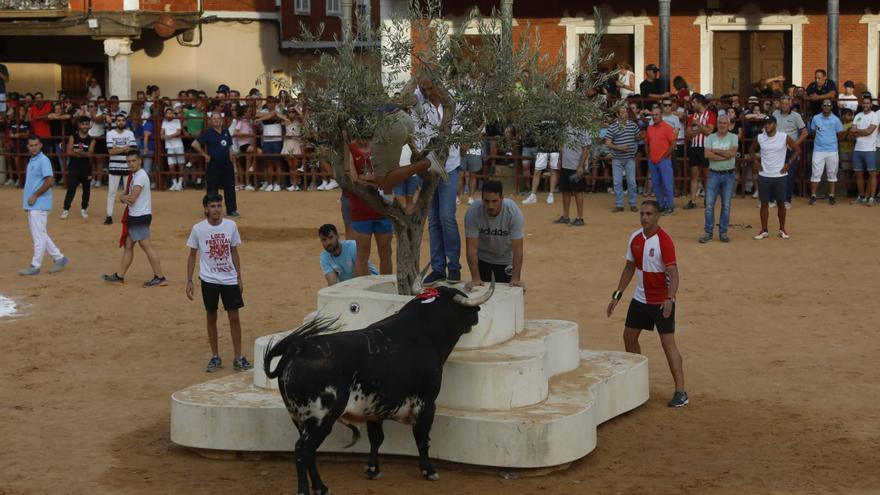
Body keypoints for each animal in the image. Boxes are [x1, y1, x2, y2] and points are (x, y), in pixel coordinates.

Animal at [262, 280, 496, 494]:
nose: (476, 315)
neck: (424, 332)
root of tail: (297, 349)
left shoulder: (374, 406)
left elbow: (376, 438)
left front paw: (372, 469)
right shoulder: (427, 402)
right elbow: (422, 438)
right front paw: (429, 471)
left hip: (299, 419)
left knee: (309, 452)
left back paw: (321, 487)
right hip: (320, 419)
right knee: (302, 450)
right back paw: (305, 490)